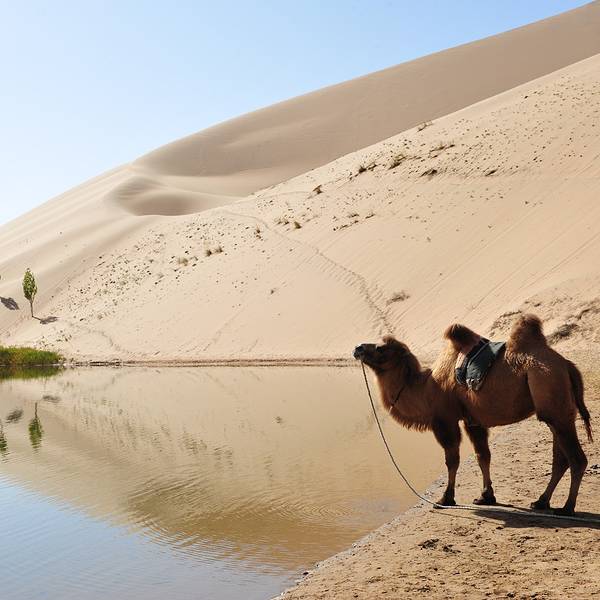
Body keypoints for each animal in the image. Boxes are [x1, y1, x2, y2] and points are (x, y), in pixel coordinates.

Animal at [353, 314, 593, 515]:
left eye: (381, 348)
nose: (358, 348)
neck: (426, 388)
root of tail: (567, 365)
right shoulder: (473, 420)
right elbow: (482, 455)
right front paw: (486, 496)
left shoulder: (444, 420)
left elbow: (452, 460)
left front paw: (445, 498)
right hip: (558, 410)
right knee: (560, 458)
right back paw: (541, 502)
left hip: (551, 393)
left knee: (576, 458)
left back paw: (567, 508)